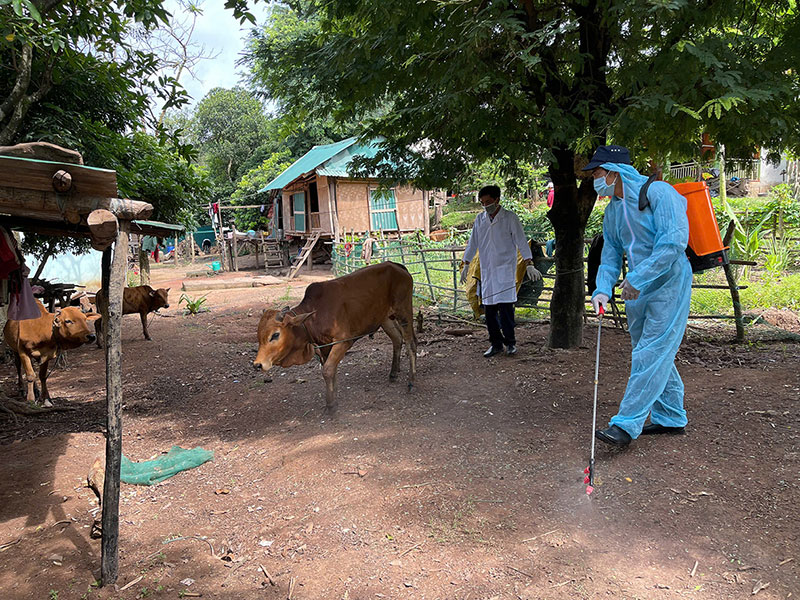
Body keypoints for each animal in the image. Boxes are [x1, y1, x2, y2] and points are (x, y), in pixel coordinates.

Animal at [255, 262, 418, 412]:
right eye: (258, 335)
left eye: (275, 335)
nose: (258, 364)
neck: (314, 316)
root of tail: (397, 266)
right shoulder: (325, 347)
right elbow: (332, 371)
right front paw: (334, 396)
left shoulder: (344, 341)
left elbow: (327, 370)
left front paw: (331, 405)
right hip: (385, 319)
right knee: (397, 340)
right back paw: (393, 374)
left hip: (404, 312)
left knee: (411, 344)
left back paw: (411, 382)